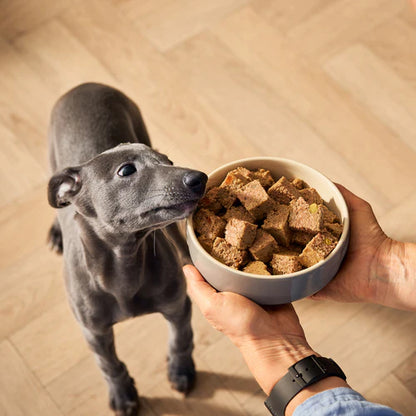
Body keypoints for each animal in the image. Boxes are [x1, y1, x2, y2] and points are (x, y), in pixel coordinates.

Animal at [47, 83, 208, 414]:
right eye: (126, 171)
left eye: (168, 162)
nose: (200, 178)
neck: (126, 261)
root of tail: (84, 86)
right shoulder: (94, 333)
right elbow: (108, 364)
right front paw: (122, 394)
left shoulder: (178, 305)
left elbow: (180, 337)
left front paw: (181, 369)